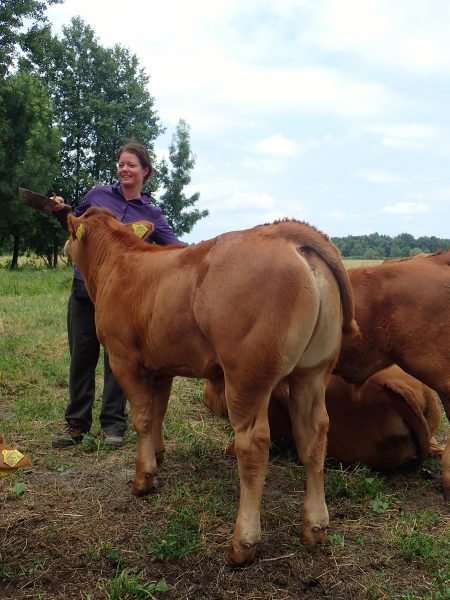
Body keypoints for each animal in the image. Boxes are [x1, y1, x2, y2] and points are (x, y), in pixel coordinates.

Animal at [65, 206, 356, 564]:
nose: (65, 248)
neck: (119, 262)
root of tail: (279, 233)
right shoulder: (162, 366)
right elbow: (159, 411)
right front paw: (158, 454)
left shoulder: (123, 359)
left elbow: (143, 417)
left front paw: (143, 478)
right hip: (313, 372)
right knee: (314, 436)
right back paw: (315, 527)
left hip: (245, 376)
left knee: (253, 445)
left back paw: (243, 543)